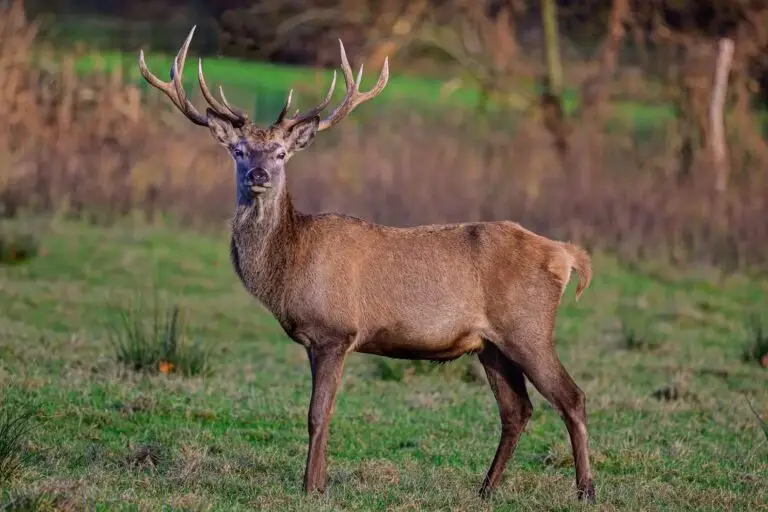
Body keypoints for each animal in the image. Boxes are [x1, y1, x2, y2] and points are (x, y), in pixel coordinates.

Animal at [139, 26, 597, 503]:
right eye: (240, 151)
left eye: (281, 153)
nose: (258, 176)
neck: (290, 267)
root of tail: (568, 256)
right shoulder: (314, 340)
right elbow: (323, 412)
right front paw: (320, 483)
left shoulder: (335, 331)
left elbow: (317, 414)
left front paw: (310, 487)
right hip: (490, 344)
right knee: (517, 409)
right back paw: (486, 489)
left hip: (528, 328)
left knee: (572, 397)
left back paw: (585, 489)